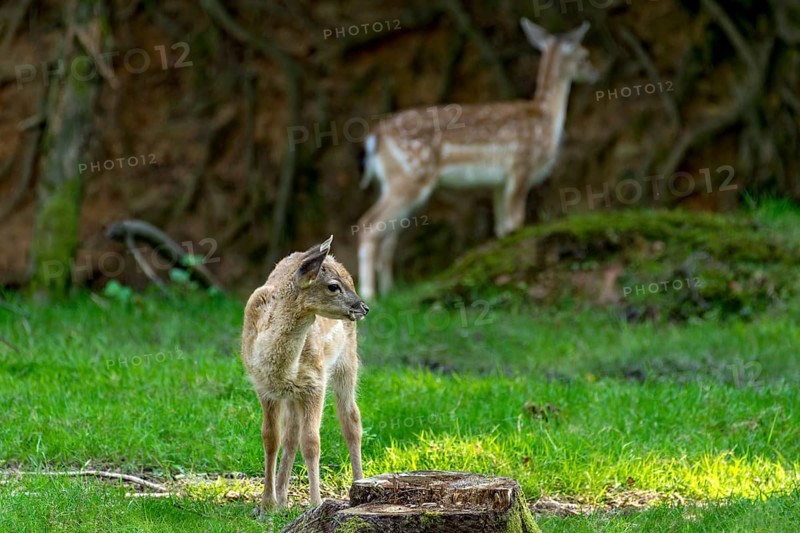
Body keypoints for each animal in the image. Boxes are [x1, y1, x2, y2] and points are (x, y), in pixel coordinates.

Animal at [241, 235, 369, 514]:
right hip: (292, 394)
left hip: (347, 359)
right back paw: (282, 499)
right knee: (290, 433)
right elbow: (270, 438)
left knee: (351, 420)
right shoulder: (264, 387)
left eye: (342, 284)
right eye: (333, 286)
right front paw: (267, 505)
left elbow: (311, 442)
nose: (364, 307)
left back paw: (359, 484)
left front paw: (315, 503)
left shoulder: (315, 381)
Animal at [357, 18, 598, 299]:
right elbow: (517, 221)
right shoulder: (521, 165)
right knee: (369, 225)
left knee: (389, 235)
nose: (595, 73)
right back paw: (369, 294)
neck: (546, 119)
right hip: (409, 177)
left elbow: (503, 227)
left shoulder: (499, 182)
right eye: (584, 56)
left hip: (398, 183)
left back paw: (390, 291)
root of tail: (375, 136)